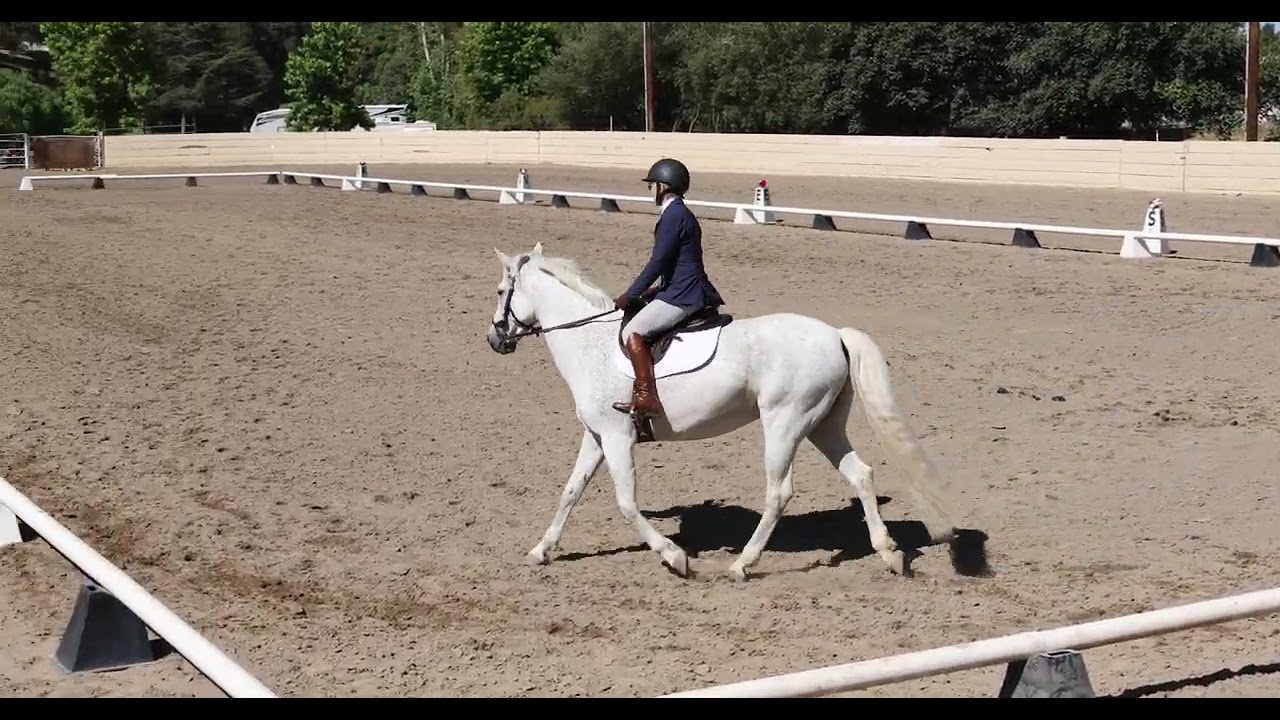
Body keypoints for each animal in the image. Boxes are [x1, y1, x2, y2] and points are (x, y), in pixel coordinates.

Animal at [483, 243, 972, 579]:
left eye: (502, 290)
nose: (495, 340)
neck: (592, 343)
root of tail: (835, 334)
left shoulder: (619, 437)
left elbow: (626, 503)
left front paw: (674, 556)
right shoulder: (598, 435)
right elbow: (571, 492)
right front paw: (541, 550)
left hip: (785, 423)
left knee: (779, 493)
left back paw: (742, 564)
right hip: (822, 426)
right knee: (861, 475)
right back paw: (889, 553)